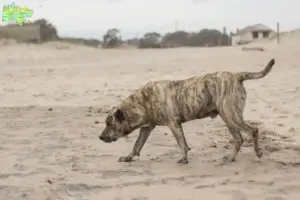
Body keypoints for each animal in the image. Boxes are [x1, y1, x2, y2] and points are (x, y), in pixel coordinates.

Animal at [98, 58, 274, 164]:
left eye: (109, 124)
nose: (100, 137)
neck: (142, 102)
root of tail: (237, 75)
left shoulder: (173, 124)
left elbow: (181, 143)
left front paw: (183, 158)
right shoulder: (146, 128)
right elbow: (137, 145)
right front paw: (128, 157)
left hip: (231, 116)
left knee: (253, 130)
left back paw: (258, 152)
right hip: (228, 118)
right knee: (238, 139)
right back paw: (230, 158)